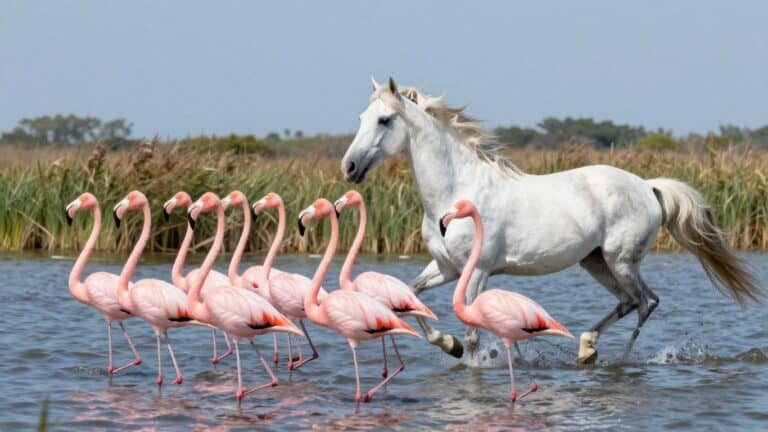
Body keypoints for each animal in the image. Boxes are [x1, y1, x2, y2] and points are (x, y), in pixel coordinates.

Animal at [340, 76, 760, 364]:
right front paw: (449, 345)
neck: (456, 192)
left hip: (621, 259)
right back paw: (588, 350)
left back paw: (612, 358)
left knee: (646, 302)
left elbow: (473, 333)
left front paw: (470, 366)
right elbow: (410, 298)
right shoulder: (445, 267)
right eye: (360, 117)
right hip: (596, 261)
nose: (349, 167)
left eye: (384, 120)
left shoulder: (477, 272)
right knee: (633, 301)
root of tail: (647, 186)